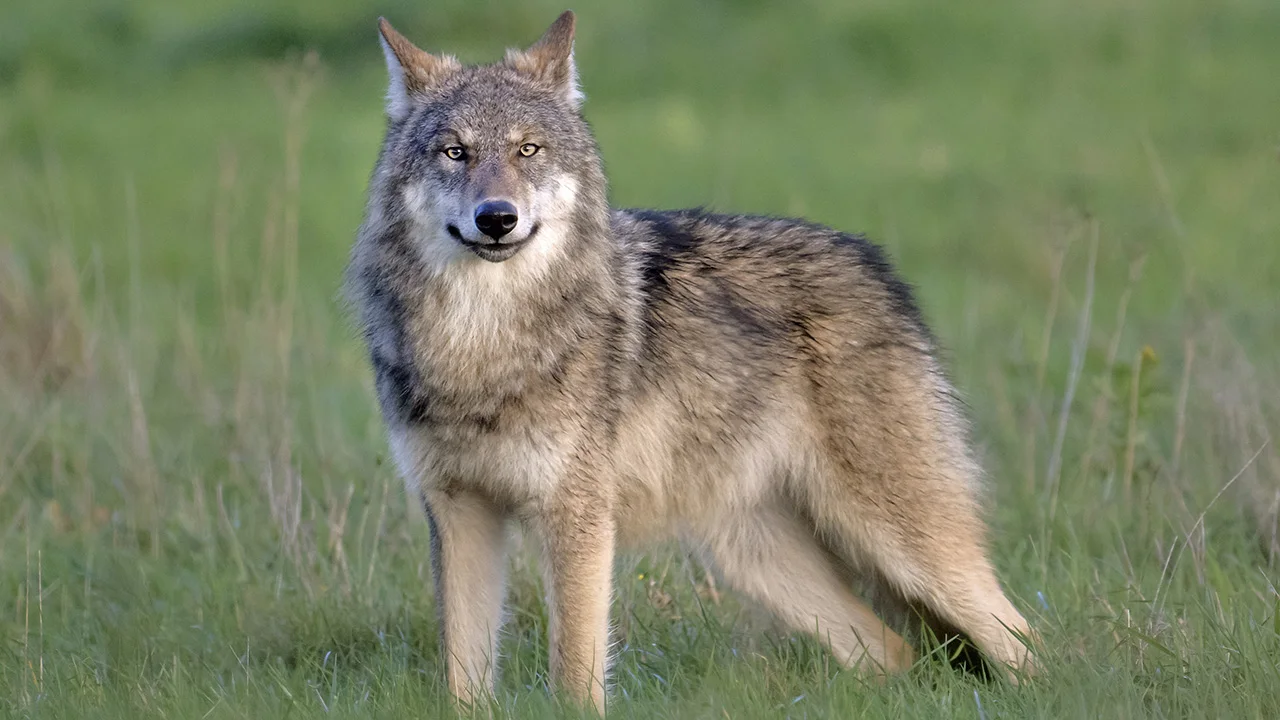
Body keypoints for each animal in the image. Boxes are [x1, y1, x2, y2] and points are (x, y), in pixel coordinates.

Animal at [345, 10, 1037, 712]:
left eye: (527, 151)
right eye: (454, 152)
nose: (496, 218)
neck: (480, 346)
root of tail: (877, 265)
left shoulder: (577, 517)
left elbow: (574, 675)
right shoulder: (459, 513)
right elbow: (463, 680)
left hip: (905, 545)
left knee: (1024, 642)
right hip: (756, 556)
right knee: (893, 653)